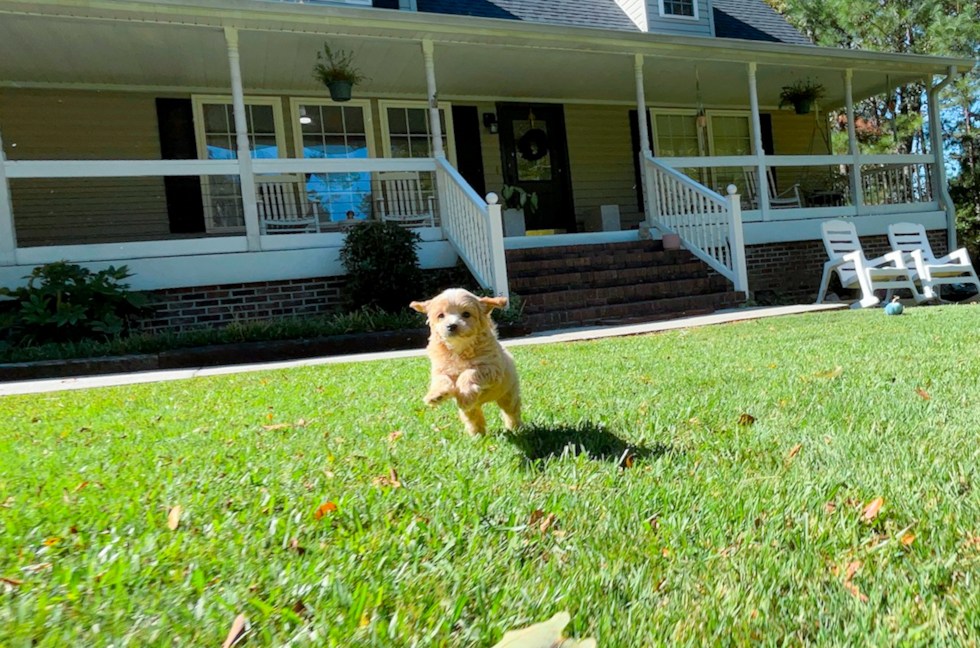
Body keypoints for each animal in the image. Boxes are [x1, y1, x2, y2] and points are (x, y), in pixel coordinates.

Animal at [412, 288, 524, 436]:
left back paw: (515, 427)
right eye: (441, 315)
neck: (459, 348)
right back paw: (477, 433)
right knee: (472, 416)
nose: (452, 326)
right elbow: (441, 379)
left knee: (511, 411)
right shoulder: (440, 368)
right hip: (471, 409)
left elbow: (470, 372)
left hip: (507, 393)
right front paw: (436, 394)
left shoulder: (491, 367)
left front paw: (465, 390)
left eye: (466, 314)